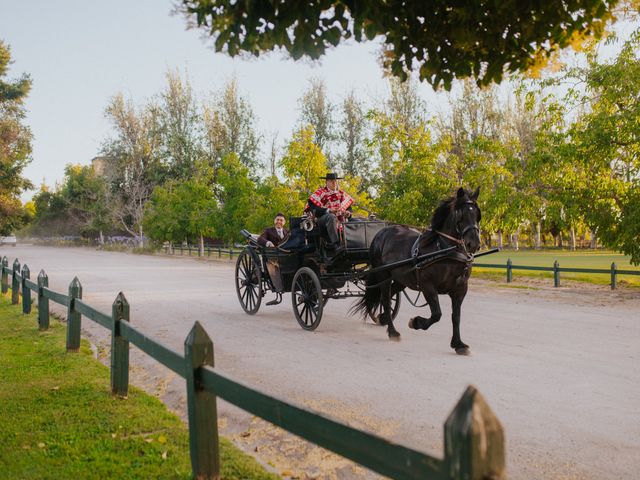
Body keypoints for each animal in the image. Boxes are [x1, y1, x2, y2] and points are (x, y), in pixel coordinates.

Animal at [352, 187, 482, 352]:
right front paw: (416, 322)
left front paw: (458, 344)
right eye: (461, 214)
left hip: (401, 278)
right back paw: (392, 332)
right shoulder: (428, 286)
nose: (474, 244)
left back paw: (383, 318)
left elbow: (456, 317)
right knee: (386, 300)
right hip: (383, 275)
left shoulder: (460, 289)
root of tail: (381, 233)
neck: (445, 251)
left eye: (477, 214)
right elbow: (437, 314)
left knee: (387, 296)